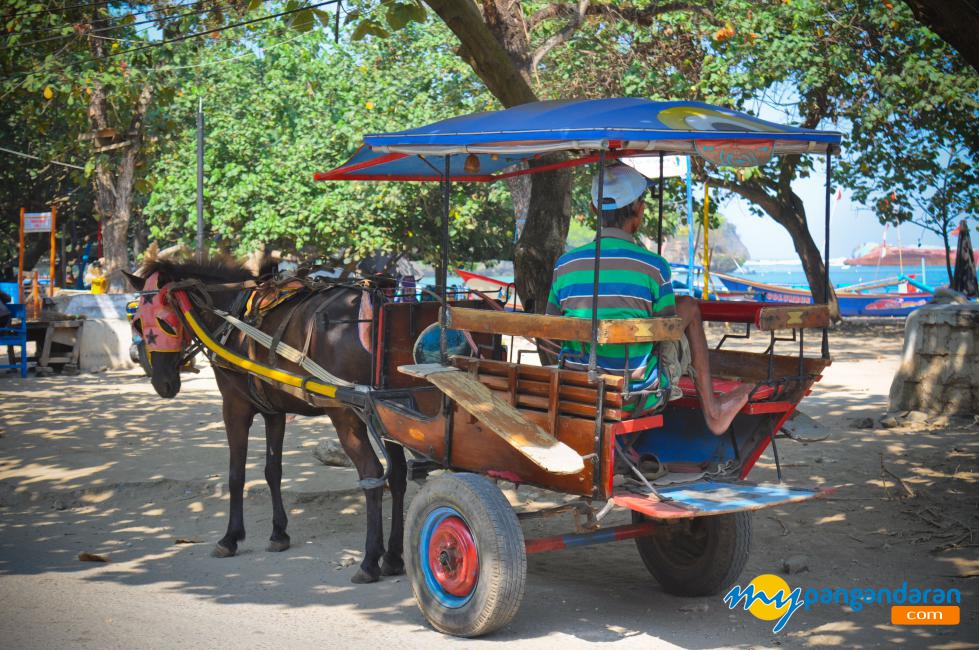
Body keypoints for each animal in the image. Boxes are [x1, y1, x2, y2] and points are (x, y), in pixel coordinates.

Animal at [128, 258, 408, 584]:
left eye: (162, 323)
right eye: (137, 324)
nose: (162, 383)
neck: (231, 316)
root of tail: (373, 301)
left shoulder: (234, 407)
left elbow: (236, 475)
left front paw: (230, 538)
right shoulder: (275, 411)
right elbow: (272, 470)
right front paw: (278, 533)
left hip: (347, 415)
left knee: (372, 474)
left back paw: (369, 561)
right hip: (390, 415)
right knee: (399, 476)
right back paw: (393, 557)